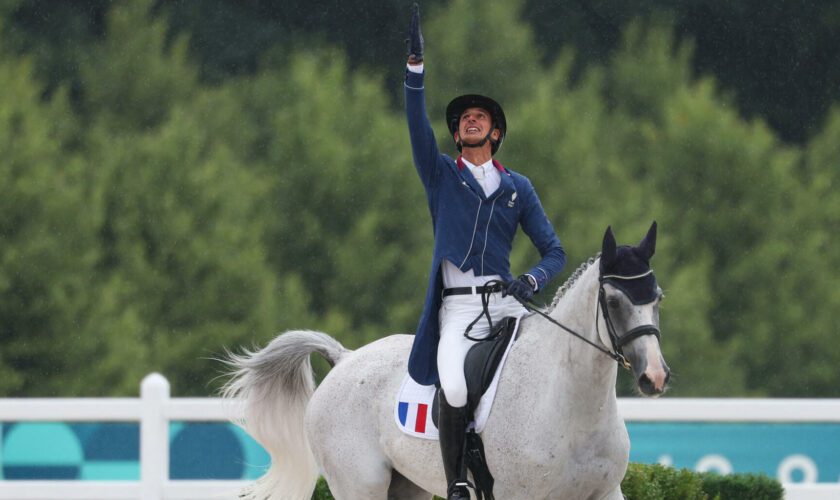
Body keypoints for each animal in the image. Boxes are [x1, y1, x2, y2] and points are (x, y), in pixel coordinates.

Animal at [221, 224, 668, 500]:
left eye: (657, 297)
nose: (655, 377)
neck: (571, 403)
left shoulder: (606, 492)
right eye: (614, 301)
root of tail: (345, 359)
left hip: (407, 486)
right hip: (360, 485)